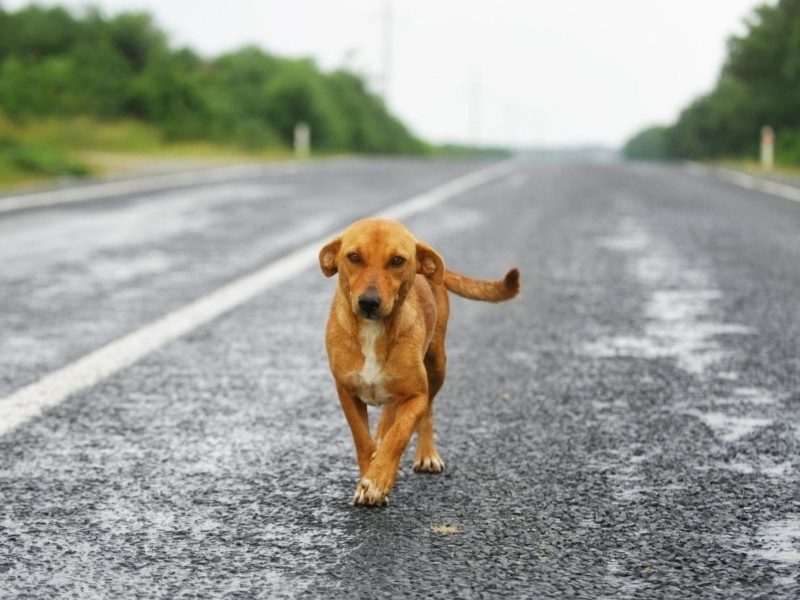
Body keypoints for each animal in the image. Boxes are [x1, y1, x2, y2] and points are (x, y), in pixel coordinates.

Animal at [318, 218, 520, 504]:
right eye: (354, 257)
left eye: (397, 260)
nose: (368, 302)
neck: (373, 331)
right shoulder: (347, 392)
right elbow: (363, 440)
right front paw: (370, 473)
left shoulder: (416, 395)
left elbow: (400, 434)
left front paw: (379, 479)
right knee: (388, 416)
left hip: (437, 366)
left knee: (426, 413)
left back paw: (426, 455)